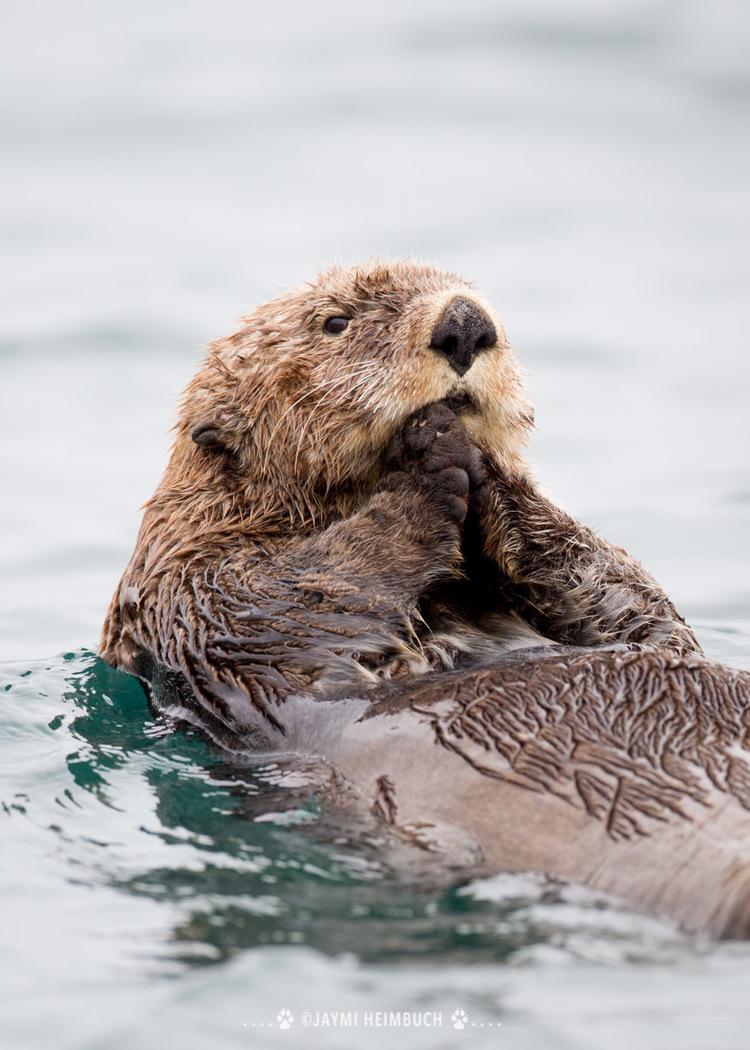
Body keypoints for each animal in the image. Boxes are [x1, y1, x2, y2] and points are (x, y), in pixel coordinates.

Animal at [102, 260, 747, 936]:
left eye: (475, 294)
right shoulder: (198, 592)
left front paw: (489, 466)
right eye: (336, 322)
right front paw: (431, 453)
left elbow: (643, 612)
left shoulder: (631, 614)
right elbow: (300, 596)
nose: (464, 322)